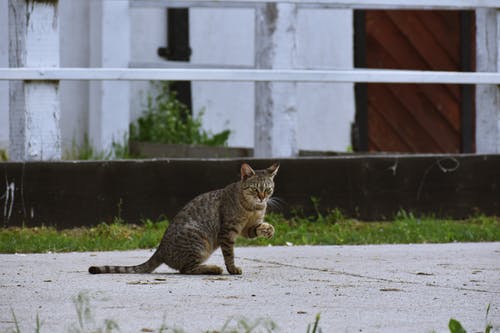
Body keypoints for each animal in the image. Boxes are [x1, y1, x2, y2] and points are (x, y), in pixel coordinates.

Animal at [88, 162, 280, 274]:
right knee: (187, 269)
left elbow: (258, 228)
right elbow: (229, 254)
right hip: (199, 241)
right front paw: (232, 269)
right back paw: (213, 268)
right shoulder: (227, 231)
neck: (253, 207)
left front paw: (269, 229)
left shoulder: (248, 228)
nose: (262, 198)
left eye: (268, 189)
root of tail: (160, 249)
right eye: (255, 189)